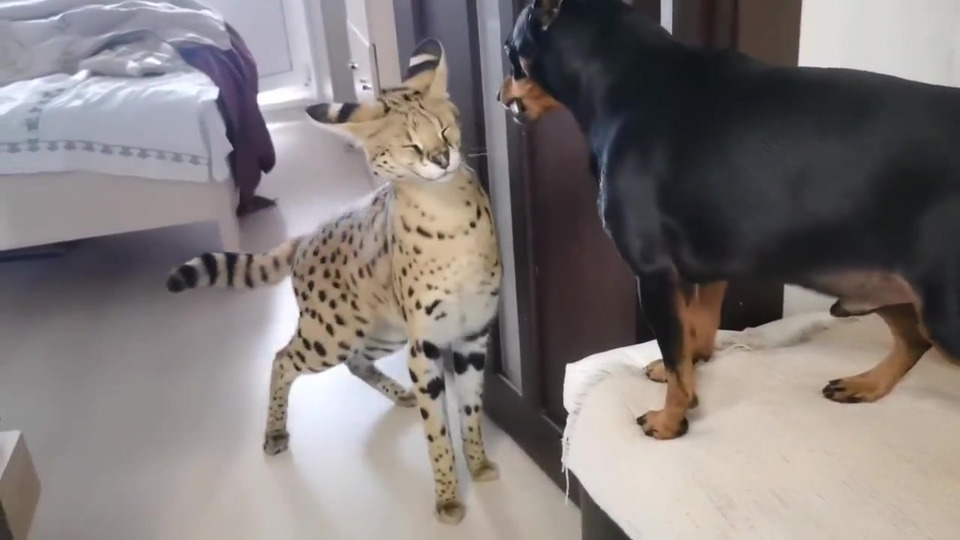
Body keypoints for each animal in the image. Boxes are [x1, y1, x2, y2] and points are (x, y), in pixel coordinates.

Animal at [164, 38, 502, 525]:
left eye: (446, 128)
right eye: (409, 145)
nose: (441, 159)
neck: (448, 216)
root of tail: (305, 236)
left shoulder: (474, 333)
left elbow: (471, 410)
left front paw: (478, 463)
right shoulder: (426, 346)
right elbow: (437, 431)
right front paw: (448, 497)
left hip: (381, 331)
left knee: (356, 362)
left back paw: (397, 394)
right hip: (330, 333)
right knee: (281, 358)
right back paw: (274, 432)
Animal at [500, 0, 960, 440]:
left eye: (508, 50)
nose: (501, 95)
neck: (621, 72)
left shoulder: (653, 272)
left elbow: (676, 352)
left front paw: (670, 420)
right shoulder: (707, 264)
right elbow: (693, 332)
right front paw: (685, 370)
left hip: (939, 310)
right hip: (881, 288)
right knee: (913, 341)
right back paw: (865, 384)